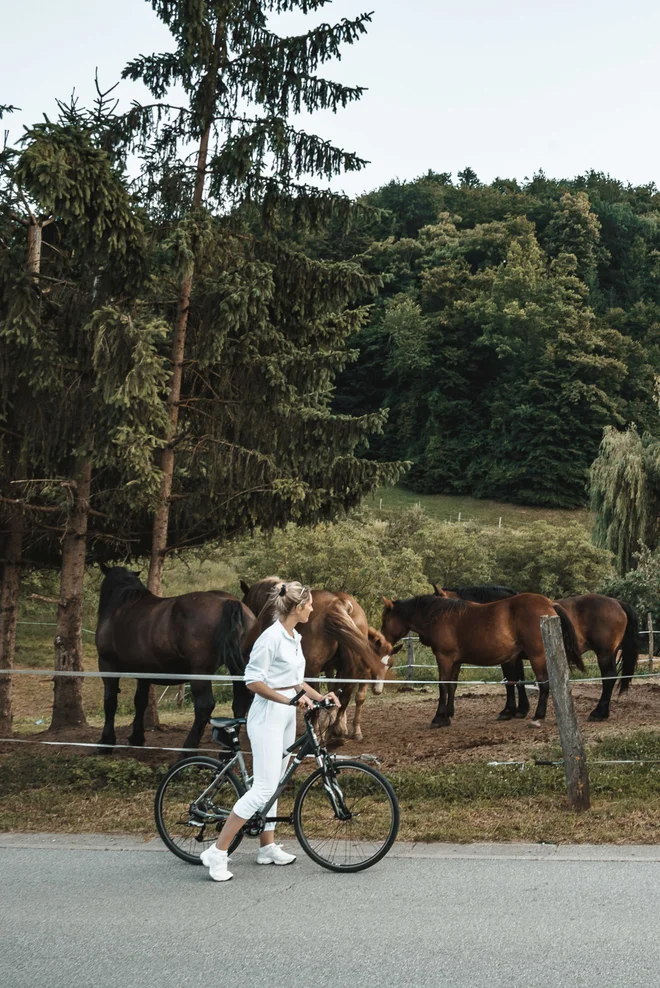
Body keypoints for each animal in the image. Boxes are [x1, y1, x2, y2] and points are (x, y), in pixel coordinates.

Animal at [95, 568, 255, 752]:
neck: (120, 607)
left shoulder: (107, 664)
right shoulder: (144, 672)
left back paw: (187, 749)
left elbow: (110, 702)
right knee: (240, 702)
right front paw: (137, 737)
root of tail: (228, 602)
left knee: (205, 706)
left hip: (200, 672)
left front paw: (106, 741)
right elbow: (140, 702)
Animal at [241, 580, 386, 740]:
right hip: (349, 668)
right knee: (344, 695)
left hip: (313, 670)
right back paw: (336, 730)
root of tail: (339, 603)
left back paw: (319, 731)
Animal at [378, 592, 584, 728]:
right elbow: (452, 686)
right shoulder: (456, 662)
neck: (439, 616)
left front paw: (438, 718)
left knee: (544, 684)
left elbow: (443, 686)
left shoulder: (444, 659)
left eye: (385, 620)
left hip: (537, 656)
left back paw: (538, 716)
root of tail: (550, 604)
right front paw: (448, 715)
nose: (380, 642)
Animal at [438, 584, 640, 720]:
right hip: (610, 653)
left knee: (608, 677)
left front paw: (508, 711)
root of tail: (618, 602)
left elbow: (510, 682)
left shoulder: (508, 659)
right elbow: (519, 680)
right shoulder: (517, 658)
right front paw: (521, 710)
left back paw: (598, 713)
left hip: (604, 653)